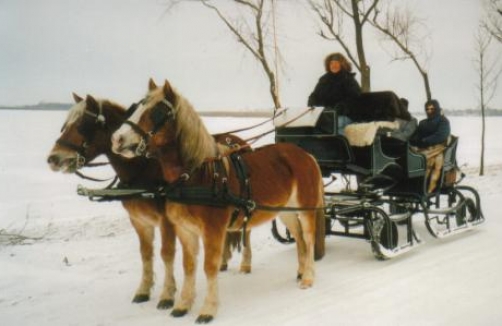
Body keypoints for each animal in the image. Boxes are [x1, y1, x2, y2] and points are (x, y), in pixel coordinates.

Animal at [46, 93, 253, 310]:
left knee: (246, 231)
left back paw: (245, 263)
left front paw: (167, 295)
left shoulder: (167, 221)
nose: (53, 158)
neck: (144, 170)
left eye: (83, 125)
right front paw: (144, 290)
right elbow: (146, 254)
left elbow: (166, 253)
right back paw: (223, 261)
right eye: (65, 125)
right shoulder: (139, 221)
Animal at [110, 78, 326, 324]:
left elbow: (209, 266)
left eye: (157, 112)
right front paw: (183, 304)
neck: (196, 175)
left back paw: (308, 277)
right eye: (135, 107)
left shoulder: (212, 230)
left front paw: (208, 309)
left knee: (307, 237)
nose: (117, 139)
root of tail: (305, 154)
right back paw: (300, 270)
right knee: (298, 235)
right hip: (284, 210)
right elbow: (189, 265)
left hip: (305, 207)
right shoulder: (184, 230)